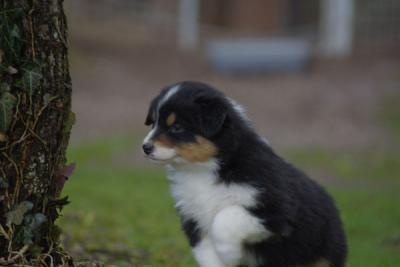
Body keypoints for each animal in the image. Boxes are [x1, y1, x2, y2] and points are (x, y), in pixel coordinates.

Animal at [141, 81, 346, 267]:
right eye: (153, 123)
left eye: (177, 127)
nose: (145, 147)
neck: (203, 169)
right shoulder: (193, 219)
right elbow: (207, 254)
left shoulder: (276, 211)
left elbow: (224, 218)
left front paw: (230, 255)